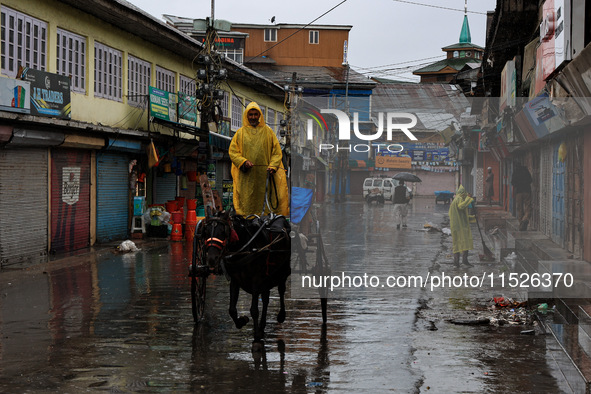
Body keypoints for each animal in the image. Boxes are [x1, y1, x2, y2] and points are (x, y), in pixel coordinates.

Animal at [199, 209, 292, 344]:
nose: (211, 259)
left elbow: (254, 310)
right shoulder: (235, 280)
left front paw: (256, 336)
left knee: (281, 290)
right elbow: (232, 310)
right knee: (266, 299)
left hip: (283, 270)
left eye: (223, 232)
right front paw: (242, 321)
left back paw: (281, 316)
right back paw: (262, 325)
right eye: (205, 232)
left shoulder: (256, 281)